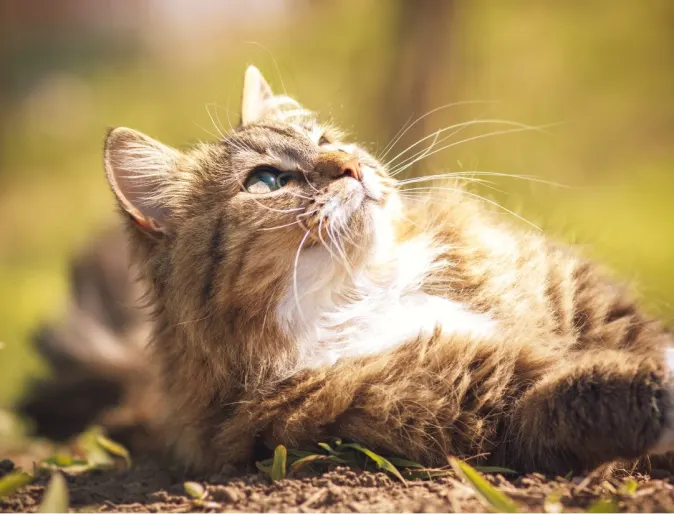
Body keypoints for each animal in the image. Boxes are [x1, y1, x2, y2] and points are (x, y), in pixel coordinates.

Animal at [18, 66, 672, 474]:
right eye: (267, 181)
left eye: (328, 138)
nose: (350, 165)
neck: (365, 291)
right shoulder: (476, 406)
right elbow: (585, 391)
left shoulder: (588, 304)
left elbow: (640, 340)